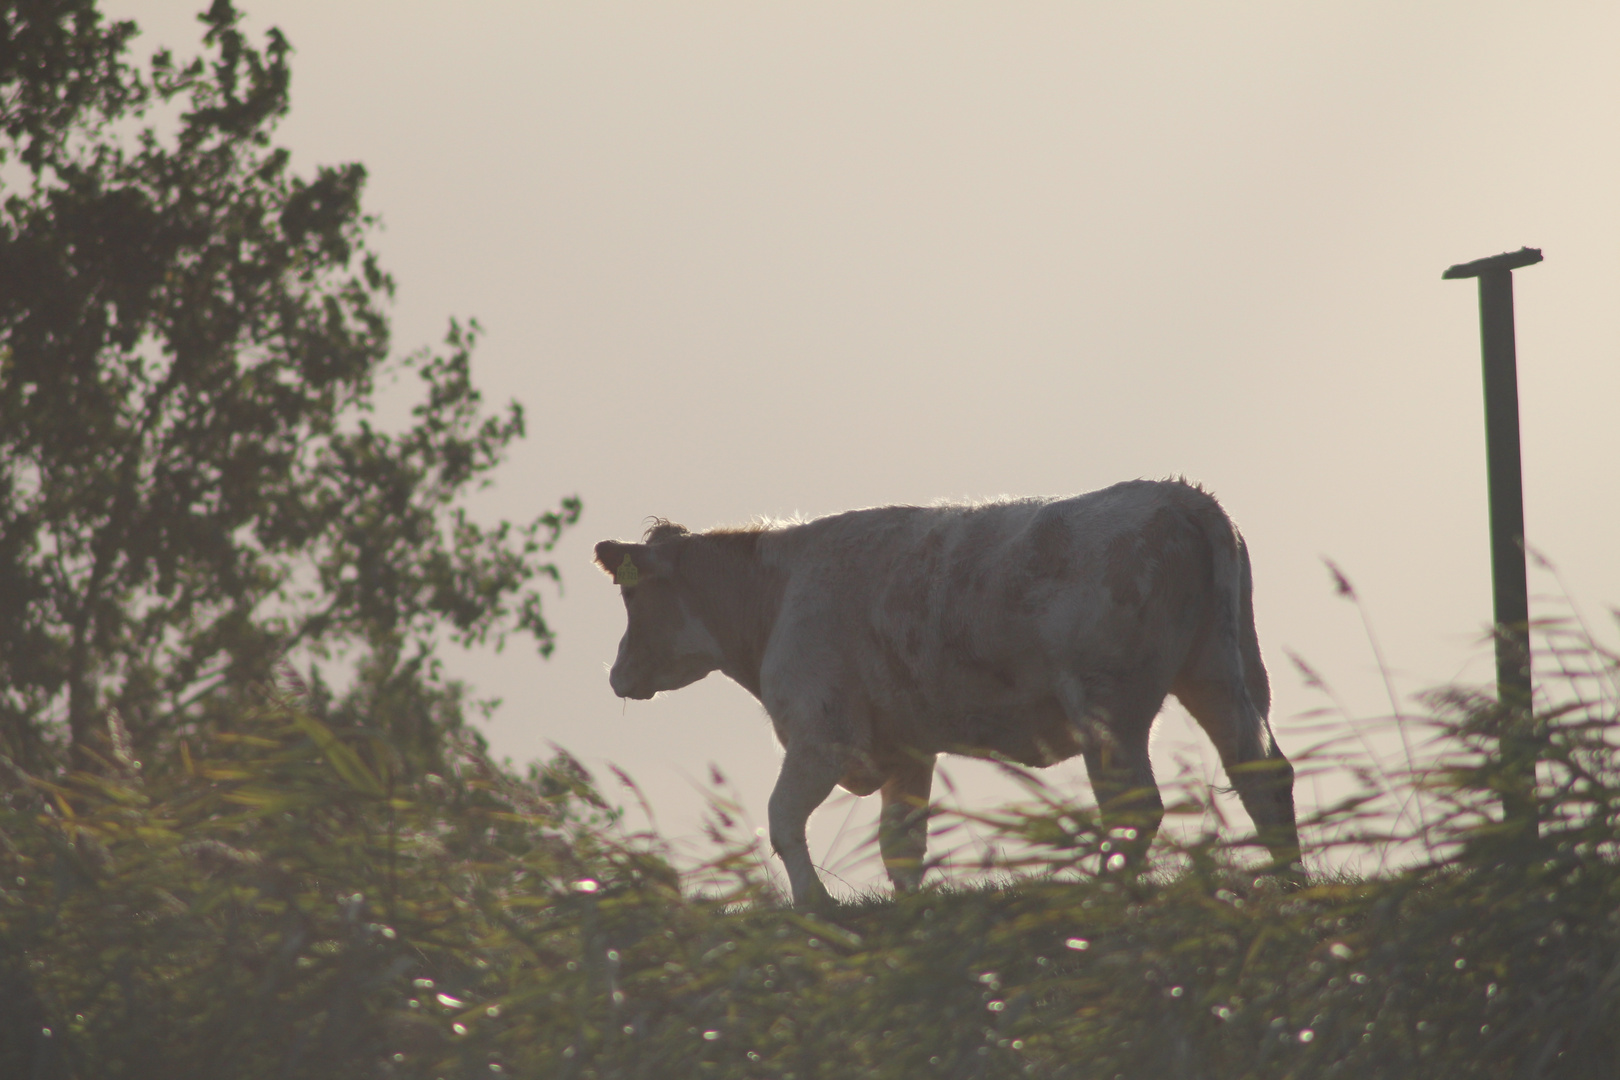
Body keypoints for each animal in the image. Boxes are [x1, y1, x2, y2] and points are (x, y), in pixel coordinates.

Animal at [596, 476, 1302, 906]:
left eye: (631, 595)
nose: (617, 675)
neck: (777, 593)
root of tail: (1179, 495)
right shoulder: (906, 747)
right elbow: (901, 845)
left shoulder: (821, 734)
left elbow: (783, 820)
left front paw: (815, 905)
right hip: (1220, 677)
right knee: (1263, 776)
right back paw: (1290, 881)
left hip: (1110, 710)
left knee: (1137, 809)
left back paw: (1107, 892)